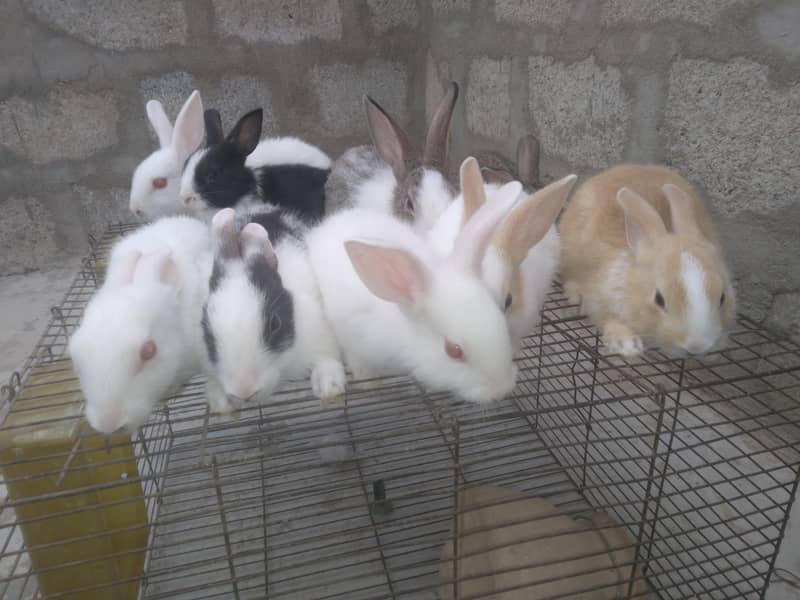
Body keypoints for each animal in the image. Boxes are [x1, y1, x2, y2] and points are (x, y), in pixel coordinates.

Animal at [201, 207, 346, 414]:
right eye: (207, 332)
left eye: (274, 324)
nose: (244, 392)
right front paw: (221, 403)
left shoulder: (320, 333)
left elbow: (326, 360)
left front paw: (328, 388)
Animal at [559, 164, 736, 357]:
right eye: (659, 299)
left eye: (723, 297)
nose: (697, 347)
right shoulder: (599, 299)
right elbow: (608, 319)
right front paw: (628, 345)